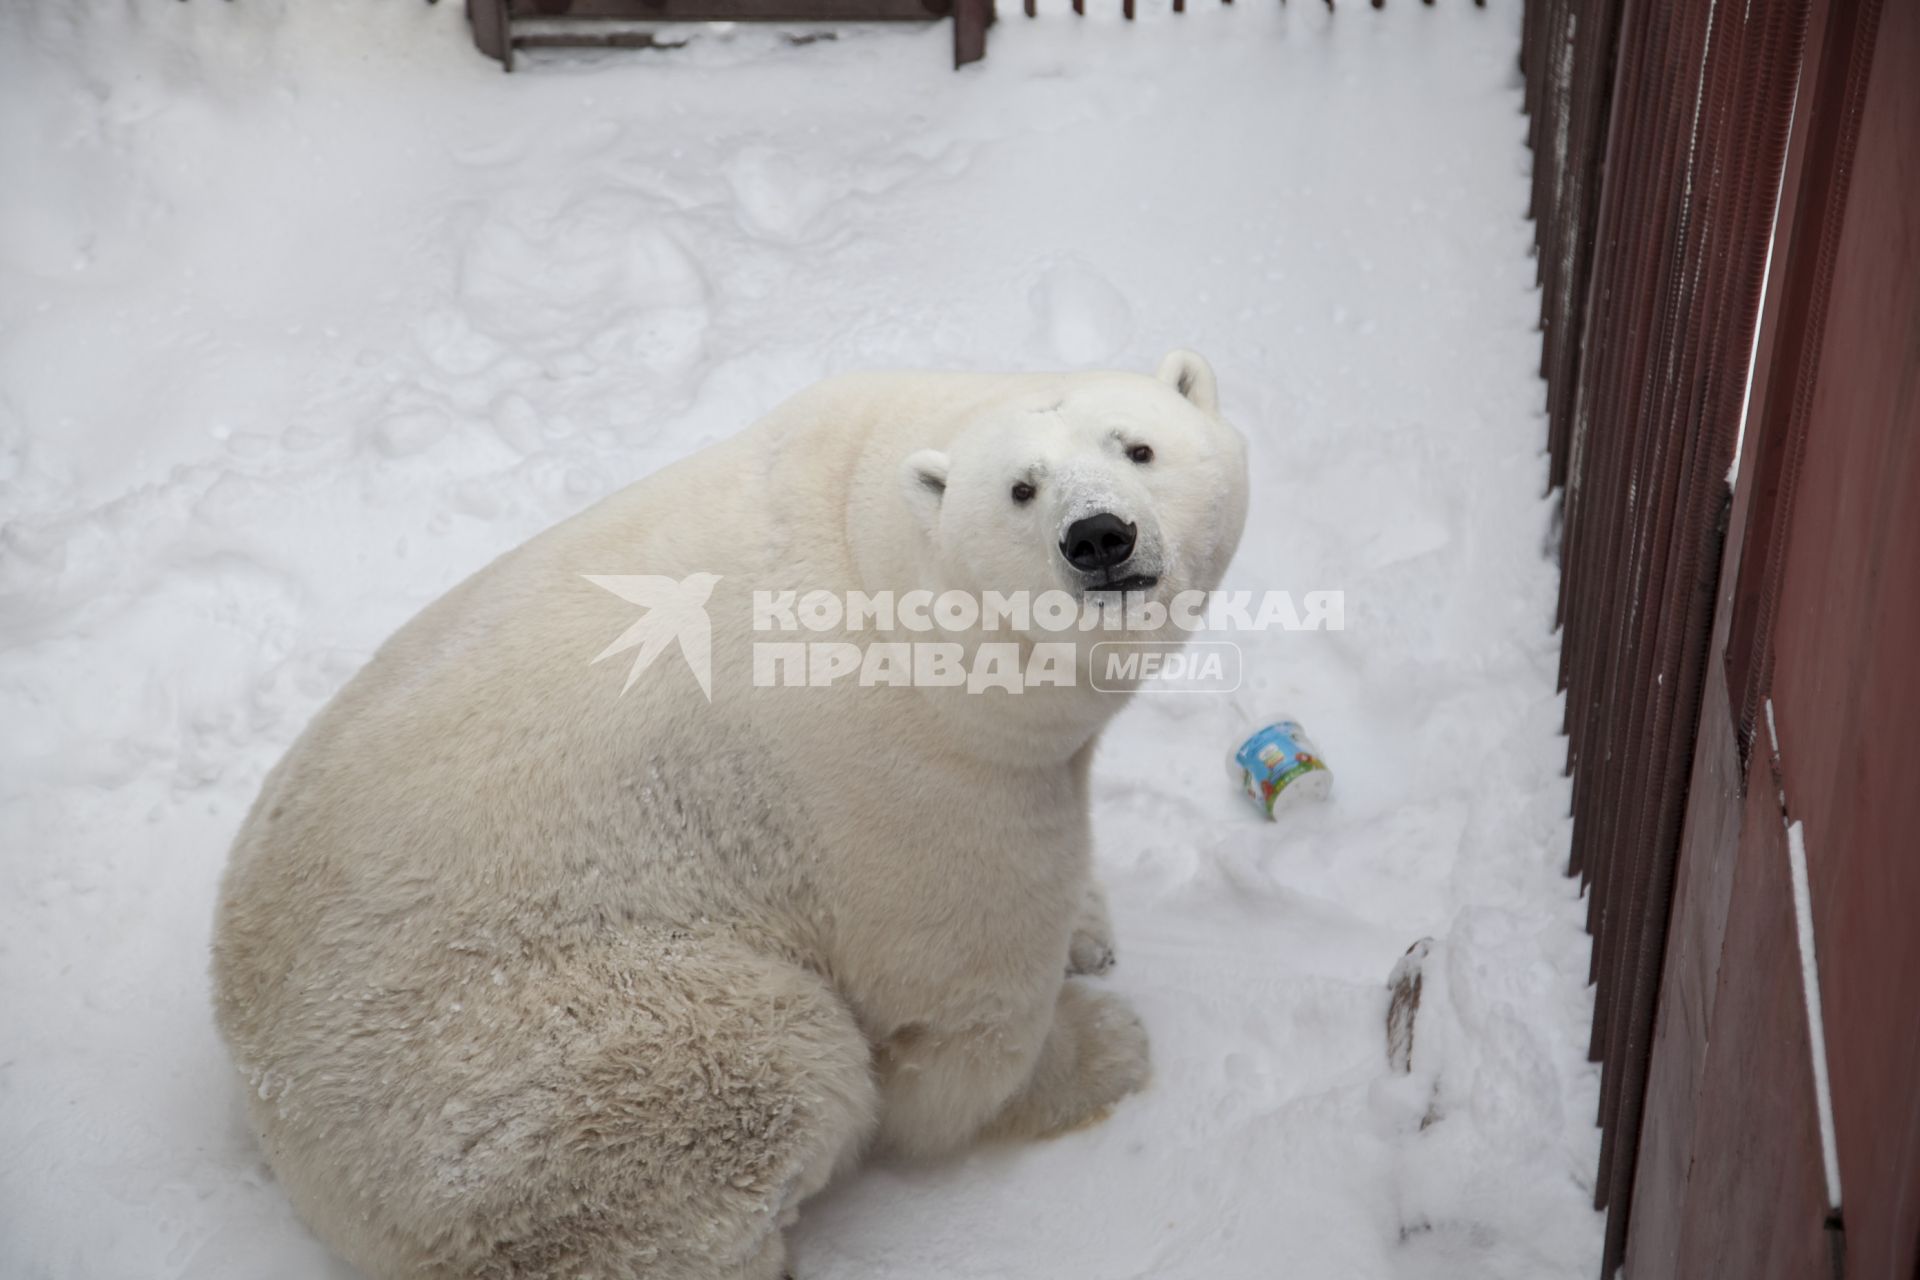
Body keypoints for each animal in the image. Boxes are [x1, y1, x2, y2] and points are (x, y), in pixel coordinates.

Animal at [214, 351, 1244, 1280]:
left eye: (1139, 446)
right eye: (1021, 490)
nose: (1100, 537)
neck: (878, 562)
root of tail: (273, 1116)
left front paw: (1092, 930)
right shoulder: (910, 786)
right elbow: (958, 1021)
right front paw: (1103, 1050)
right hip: (541, 1062)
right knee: (761, 1072)